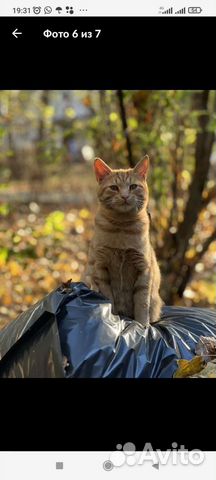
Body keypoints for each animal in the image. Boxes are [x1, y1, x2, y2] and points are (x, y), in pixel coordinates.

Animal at [83, 157, 163, 326]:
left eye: (133, 187)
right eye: (114, 188)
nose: (125, 196)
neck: (122, 227)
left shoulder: (143, 269)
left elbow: (142, 304)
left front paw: (142, 326)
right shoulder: (101, 269)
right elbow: (109, 300)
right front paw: (112, 321)